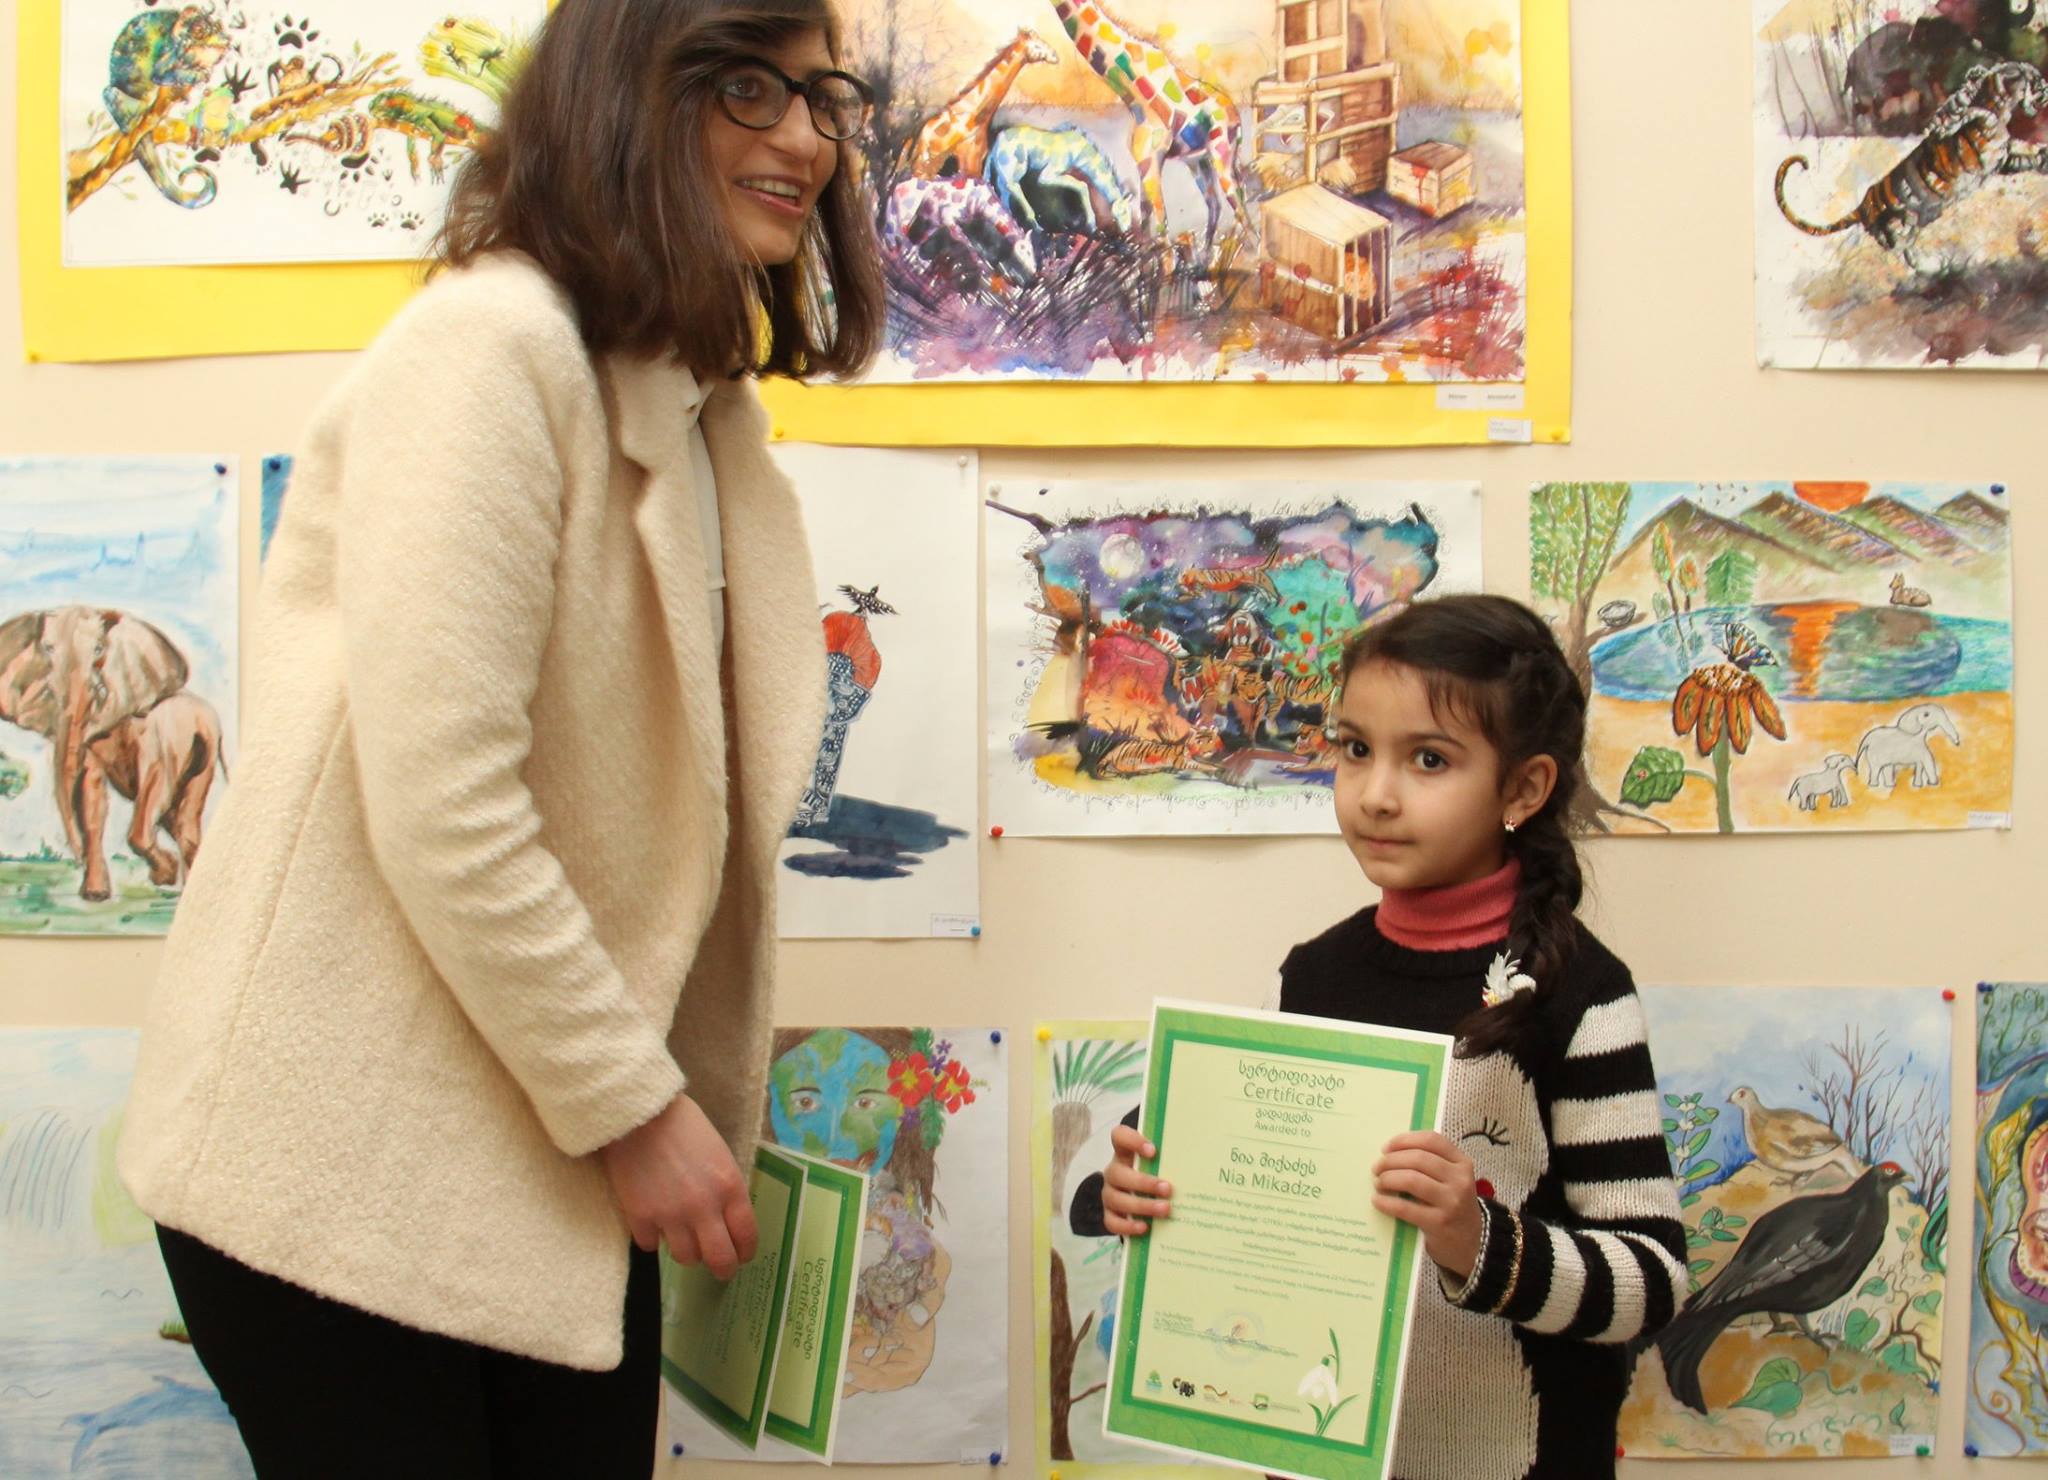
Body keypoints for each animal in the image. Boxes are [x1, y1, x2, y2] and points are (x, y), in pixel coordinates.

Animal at [0, 607, 192, 900]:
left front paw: (165, 873)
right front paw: (95, 895)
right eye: (48, 648)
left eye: (99, 649)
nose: (76, 857)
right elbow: (89, 791)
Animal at [901, 29, 1059, 182]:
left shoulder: (975, 164)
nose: (1055, 56)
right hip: (926, 166)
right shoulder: (970, 163)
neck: (975, 115)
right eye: (1037, 46)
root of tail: (914, 139)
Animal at [1048, 0, 1251, 251]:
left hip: (1222, 153)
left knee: (1240, 208)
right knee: (1217, 205)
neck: (1131, 85)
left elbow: (1162, 227)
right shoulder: (1142, 161)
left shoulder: (1152, 158)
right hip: (1199, 161)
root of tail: (1235, 118)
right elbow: (1146, 223)